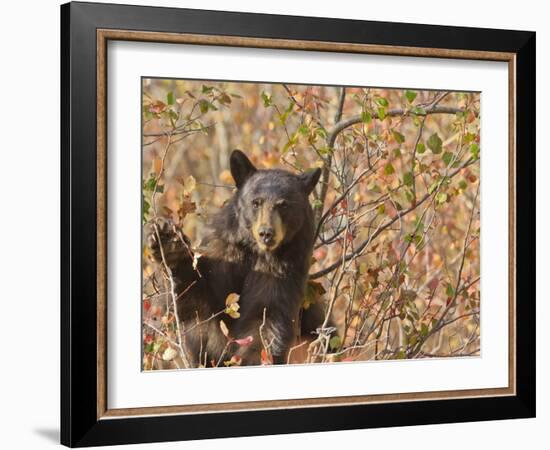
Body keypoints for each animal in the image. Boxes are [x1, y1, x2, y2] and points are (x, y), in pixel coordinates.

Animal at [149, 149, 326, 366]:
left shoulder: (283, 271)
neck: (255, 253)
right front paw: (169, 243)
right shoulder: (224, 255)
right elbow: (199, 305)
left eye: (283, 205)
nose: (266, 233)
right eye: (256, 202)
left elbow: (265, 317)